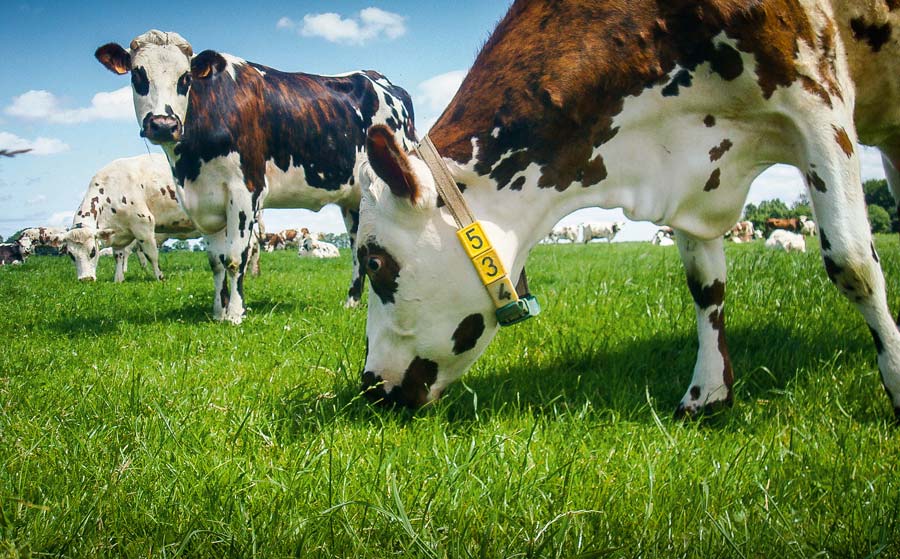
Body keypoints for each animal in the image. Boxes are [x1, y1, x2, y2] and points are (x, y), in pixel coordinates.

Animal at [93, 30, 416, 326]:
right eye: (138, 74)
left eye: (185, 78)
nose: (163, 124)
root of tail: (380, 80)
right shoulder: (209, 200)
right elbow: (216, 262)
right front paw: (218, 311)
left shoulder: (245, 190)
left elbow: (235, 258)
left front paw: (235, 314)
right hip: (353, 199)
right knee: (357, 248)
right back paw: (351, 301)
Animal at [356, 0, 900, 420]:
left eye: (374, 262)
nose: (368, 385)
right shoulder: (693, 174)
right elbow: (705, 285)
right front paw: (707, 393)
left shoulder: (819, 105)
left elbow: (852, 262)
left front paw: (895, 378)